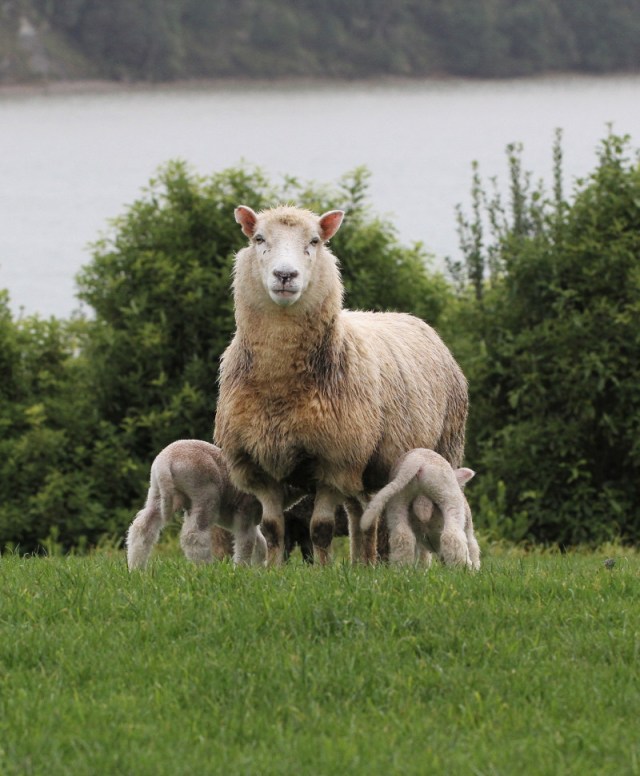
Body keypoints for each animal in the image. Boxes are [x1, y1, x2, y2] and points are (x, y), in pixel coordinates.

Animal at [126, 439, 265, 570]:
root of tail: (166, 460)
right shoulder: (246, 509)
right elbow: (246, 541)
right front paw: (243, 569)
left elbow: (259, 541)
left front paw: (258, 568)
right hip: (206, 492)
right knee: (194, 535)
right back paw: (205, 569)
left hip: (158, 493)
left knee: (142, 528)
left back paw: (136, 567)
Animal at [214, 204, 468, 566]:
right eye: (259, 238)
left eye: (315, 241)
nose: (285, 275)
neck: (280, 385)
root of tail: (413, 319)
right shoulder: (258, 465)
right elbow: (273, 529)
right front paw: (272, 570)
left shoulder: (336, 461)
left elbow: (320, 529)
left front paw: (323, 570)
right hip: (368, 470)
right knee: (362, 516)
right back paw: (363, 564)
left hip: (443, 448)